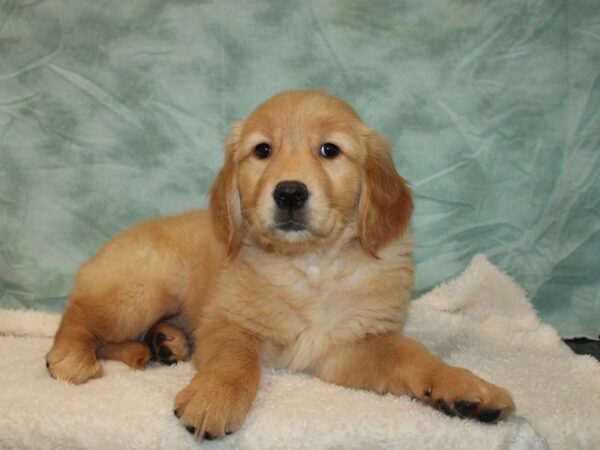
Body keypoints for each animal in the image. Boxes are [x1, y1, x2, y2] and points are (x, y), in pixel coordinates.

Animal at [47, 89, 516, 438]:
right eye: (263, 151)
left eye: (329, 150)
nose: (290, 192)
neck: (311, 266)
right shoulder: (230, 323)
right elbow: (237, 360)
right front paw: (215, 397)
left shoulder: (349, 347)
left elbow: (411, 353)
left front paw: (466, 388)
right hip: (141, 288)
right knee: (80, 316)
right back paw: (71, 356)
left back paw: (165, 343)